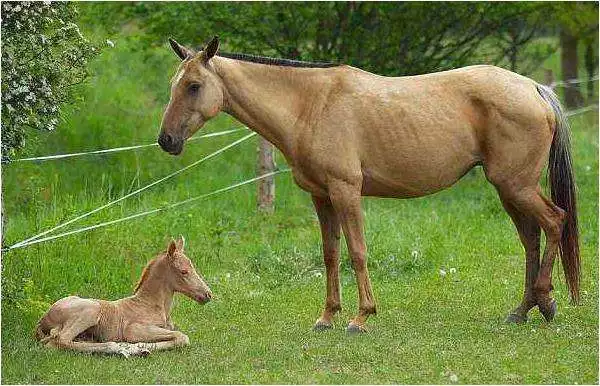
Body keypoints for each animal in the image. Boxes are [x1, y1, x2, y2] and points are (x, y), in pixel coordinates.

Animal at [35, 237, 212, 358]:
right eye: (184, 271)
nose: (208, 294)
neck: (153, 305)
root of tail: (43, 319)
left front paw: (140, 348)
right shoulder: (133, 329)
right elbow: (182, 337)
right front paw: (138, 347)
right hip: (92, 309)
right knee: (59, 341)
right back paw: (119, 348)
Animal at [157, 35, 580, 332]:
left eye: (194, 85)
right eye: (174, 84)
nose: (166, 141)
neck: (310, 105)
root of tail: (533, 88)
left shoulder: (346, 191)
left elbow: (357, 252)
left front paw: (361, 318)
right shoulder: (321, 196)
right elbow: (330, 254)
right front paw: (327, 316)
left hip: (517, 187)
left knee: (555, 222)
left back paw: (545, 300)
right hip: (510, 190)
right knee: (531, 238)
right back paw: (523, 310)